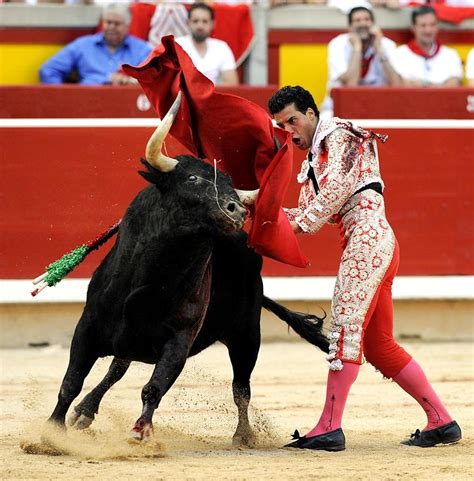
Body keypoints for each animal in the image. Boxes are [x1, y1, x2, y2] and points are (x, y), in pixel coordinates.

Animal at [48, 94, 330, 446]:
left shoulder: (179, 342)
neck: (153, 278)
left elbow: (153, 387)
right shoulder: (87, 326)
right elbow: (71, 380)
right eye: (192, 178)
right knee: (117, 368)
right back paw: (84, 411)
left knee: (241, 387)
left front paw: (141, 432)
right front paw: (50, 434)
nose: (237, 210)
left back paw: (243, 435)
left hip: (247, 333)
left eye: (230, 185)